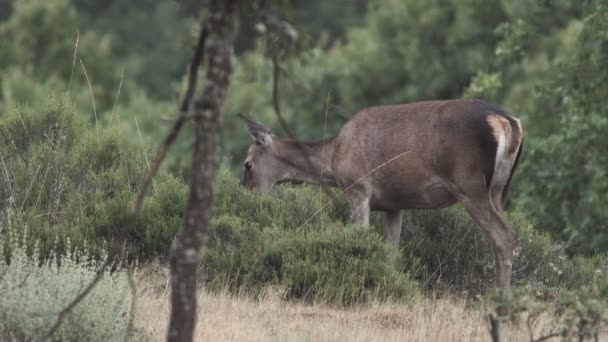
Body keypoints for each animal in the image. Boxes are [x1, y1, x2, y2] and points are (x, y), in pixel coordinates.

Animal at [240, 99, 524, 288]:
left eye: (247, 164)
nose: (246, 194)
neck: (334, 157)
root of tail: (507, 122)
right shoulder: (393, 205)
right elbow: (391, 251)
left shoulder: (358, 188)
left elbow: (361, 238)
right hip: (500, 189)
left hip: (469, 183)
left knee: (504, 234)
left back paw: (500, 299)